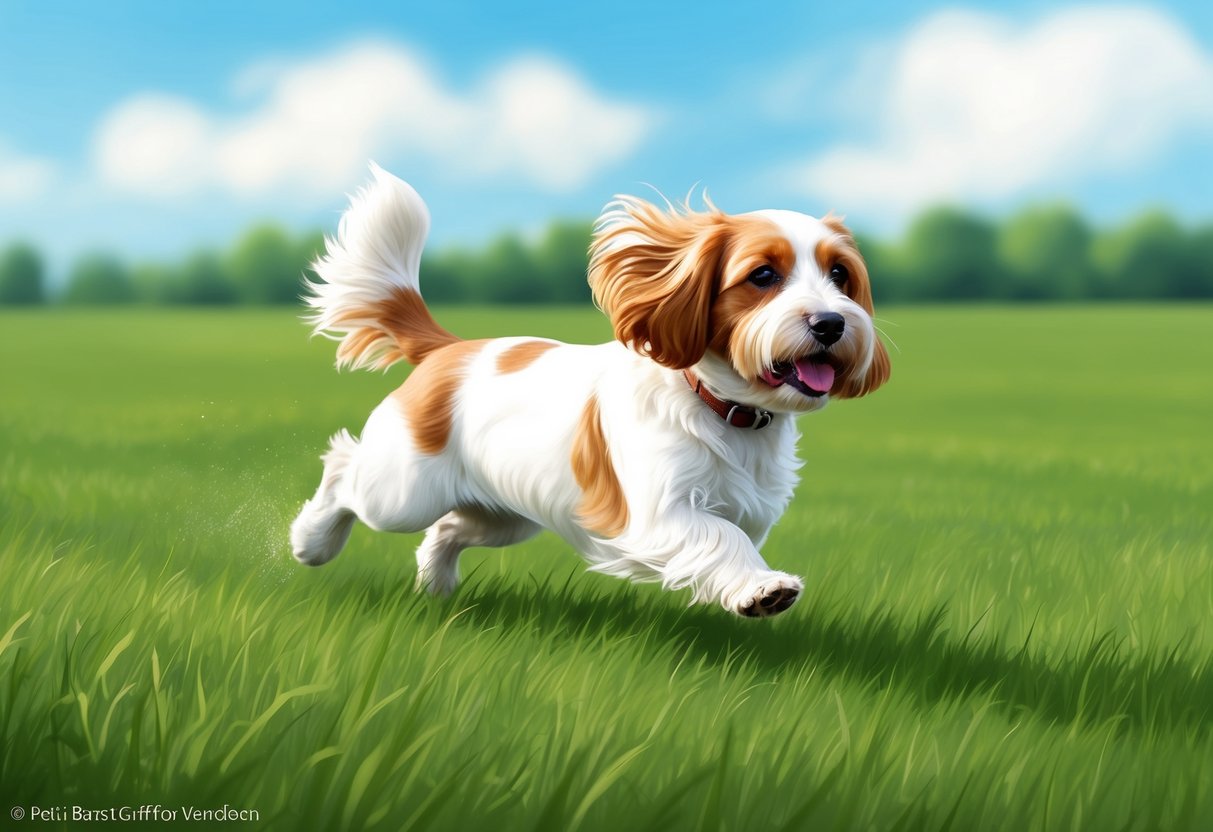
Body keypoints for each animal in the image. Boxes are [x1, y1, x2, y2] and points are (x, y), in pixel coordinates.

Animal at [288, 164, 887, 618]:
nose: (832, 323)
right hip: (402, 490)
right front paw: (766, 589)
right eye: (762, 276)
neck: (722, 409)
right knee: (344, 470)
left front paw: (747, 592)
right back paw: (312, 541)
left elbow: (730, 547)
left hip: (503, 514)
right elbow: (720, 539)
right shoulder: (660, 512)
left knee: (447, 529)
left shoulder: (751, 512)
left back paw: (435, 588)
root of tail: (447, 349)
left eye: (840, 275)